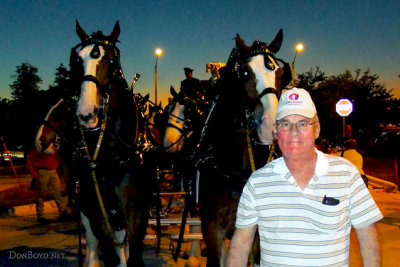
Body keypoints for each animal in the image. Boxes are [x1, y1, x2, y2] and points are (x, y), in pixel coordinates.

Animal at [36, 21, 152, 267]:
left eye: (111, 60)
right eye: (77, 60)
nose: (86, 113)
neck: (112, 158)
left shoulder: (137, 211)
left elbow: (134, 253)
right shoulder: (96, 212)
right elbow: (108, 251)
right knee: (94, 247)